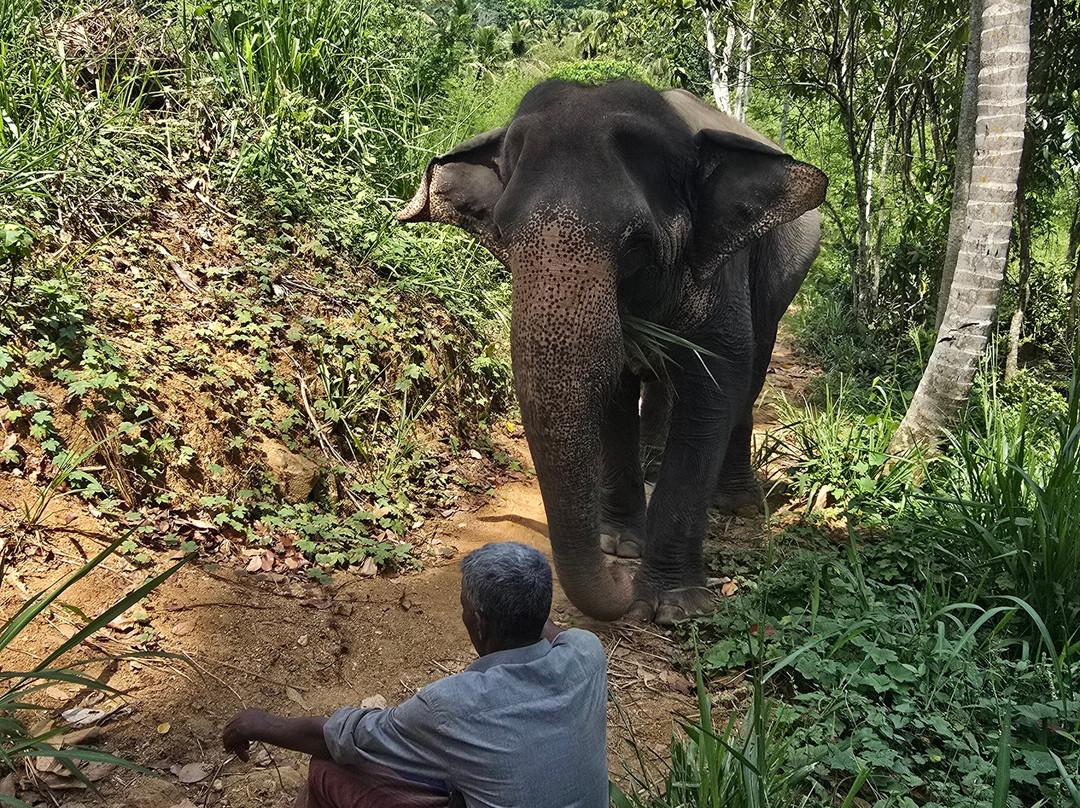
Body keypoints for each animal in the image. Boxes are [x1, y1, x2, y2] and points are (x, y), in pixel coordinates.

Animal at [398, 80, 826, 624]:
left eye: (636, 243)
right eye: (505, 233)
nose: (620, 585)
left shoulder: (720, 276)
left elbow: (714, 387)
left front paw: (670, 605)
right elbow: (615, 388)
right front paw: (619, 546)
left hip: (784, 276)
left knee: (750, 375)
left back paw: (735, 503)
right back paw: (652, 466)